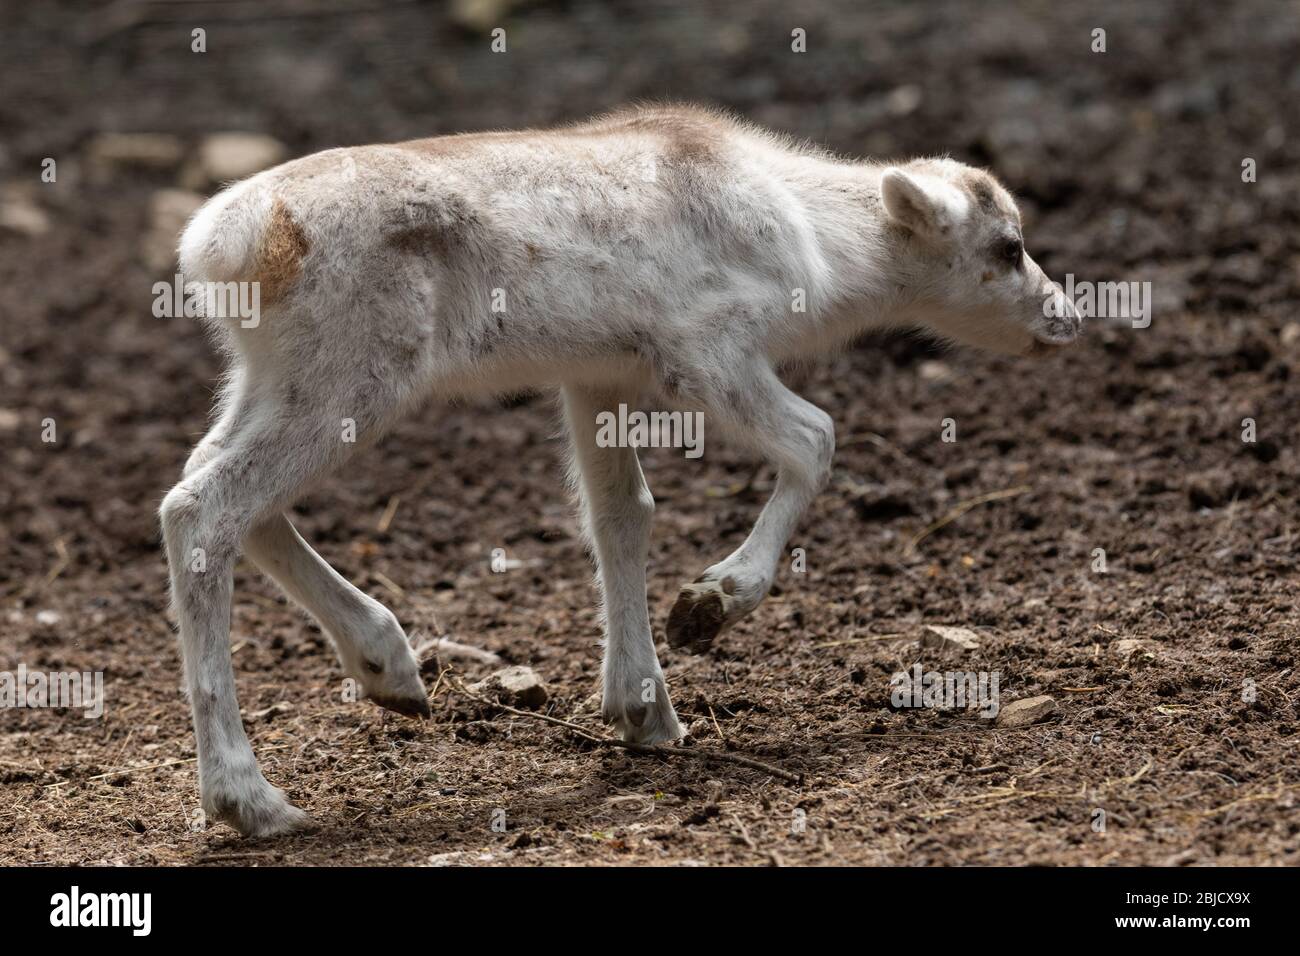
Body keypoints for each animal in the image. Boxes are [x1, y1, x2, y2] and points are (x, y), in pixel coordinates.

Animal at [161, 105, 1080, 836]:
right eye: (1008, 246)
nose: (1066, 317)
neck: (816, 248)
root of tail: (219, 246)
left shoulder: (594, 373)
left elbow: (621, 513)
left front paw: (646, 713)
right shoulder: (705, 349)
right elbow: (816, 438)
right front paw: (707, 605)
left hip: (270, 376)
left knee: (214, 491)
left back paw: (390, 669)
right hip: (352, 372)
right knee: (202, 507)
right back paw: (251, 801)